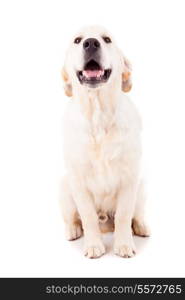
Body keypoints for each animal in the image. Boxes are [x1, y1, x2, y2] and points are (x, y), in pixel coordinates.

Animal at [60, 25, 150, 258]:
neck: (98, 115)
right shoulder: (78, 180)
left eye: (107, 39)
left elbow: (124, 215)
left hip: (141, 185)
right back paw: (72, 229)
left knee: (136, 214)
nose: (91, 43)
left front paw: (124, 244)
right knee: (73, 217)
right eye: (77, 40)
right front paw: (93, 245)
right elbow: (88, 216)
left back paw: (141, 226)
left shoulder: (129, 178)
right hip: (64, 186)